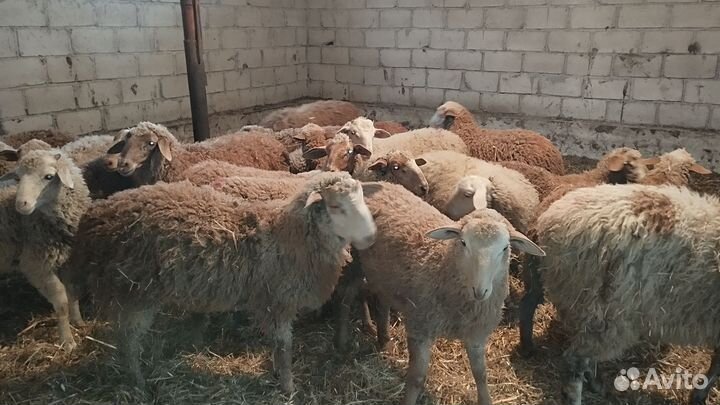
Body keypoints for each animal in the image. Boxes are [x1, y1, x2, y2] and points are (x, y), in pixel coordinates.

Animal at [0, 149, 90, 350]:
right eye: (17, 178)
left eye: (49, 177)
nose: (21, 204)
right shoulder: (36, 266)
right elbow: (62, 302)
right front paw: (68, 341)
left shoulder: (67, 259)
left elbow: (73, 292)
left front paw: (78, 321)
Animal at [62, 172, 380, 392]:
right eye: (336, 206)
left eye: (362, 201)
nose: (370, 238)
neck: (289, 235)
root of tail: (96, 214)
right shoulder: (276, 302)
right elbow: (283, 346)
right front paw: (288, 386)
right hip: (133, 292)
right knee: (128, 341)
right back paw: (138, 383)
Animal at [344, 182, 545, 405]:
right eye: (463, 243)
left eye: (505, 248)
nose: (480, 290)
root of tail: (374, 185)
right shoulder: (420, 327)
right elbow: (416, 378)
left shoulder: (476, 333)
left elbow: (481, 375)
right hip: (355, 262)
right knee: (348, 295)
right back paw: (344, 340)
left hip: (383, 275)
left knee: (381, 301)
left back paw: (382, 337)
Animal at [533, 183, 720, 405]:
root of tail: (551, 220)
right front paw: (699, 395)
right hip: (608, 314)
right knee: (575, 361)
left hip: (588, 312)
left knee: (586, 357)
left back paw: (597, 384)